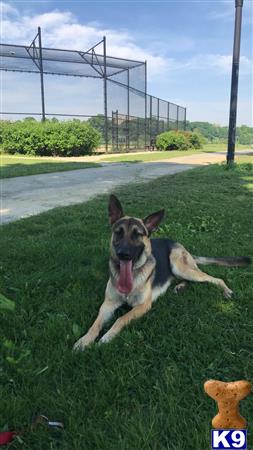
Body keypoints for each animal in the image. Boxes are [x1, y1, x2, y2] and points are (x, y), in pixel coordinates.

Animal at [73, 194, 251, 352]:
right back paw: (180, 287)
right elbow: (95, 324)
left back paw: (226, 291)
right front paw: (84, 340)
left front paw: (107, 337)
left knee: (215, 278)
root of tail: (178, 244)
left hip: (179, 265)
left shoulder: (143, 306)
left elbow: (120, 319)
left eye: (137, 235)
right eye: (119, 232)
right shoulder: (108, 304)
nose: (123, 254)